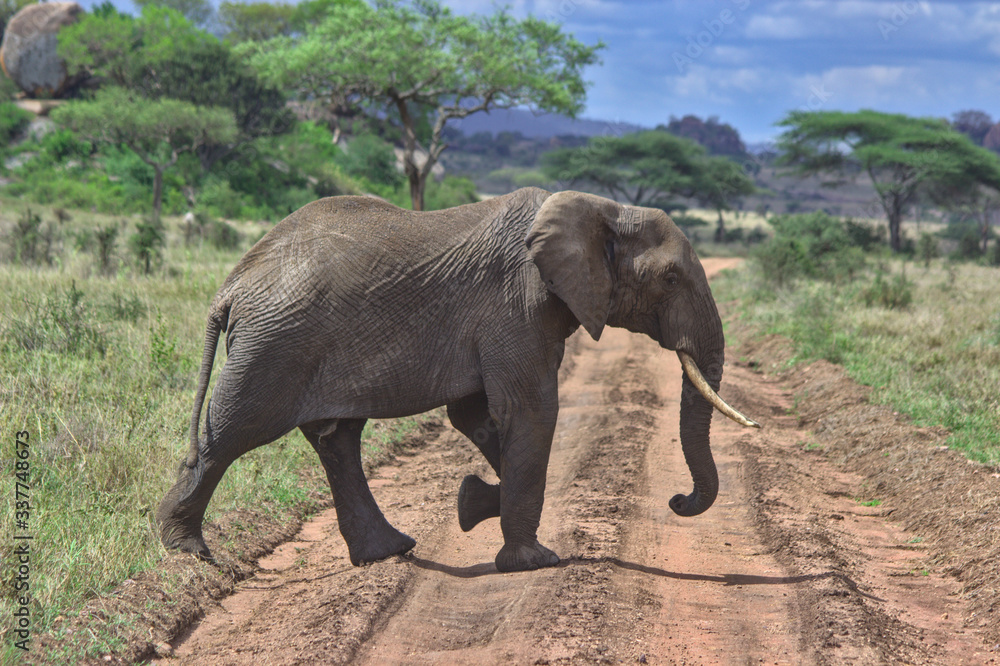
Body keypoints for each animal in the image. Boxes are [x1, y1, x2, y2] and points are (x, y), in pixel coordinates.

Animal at [156, 188, 759, 573]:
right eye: (671, 278)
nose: (677, 500)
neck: (605, 208)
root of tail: (232, 285)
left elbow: (477, 416)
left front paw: (473, 503)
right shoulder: (516, 304)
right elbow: (530, 411)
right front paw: (532, 562)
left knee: (337, 439)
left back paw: (388, 551)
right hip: (274, 345)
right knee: (231, 432)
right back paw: (186, 552)